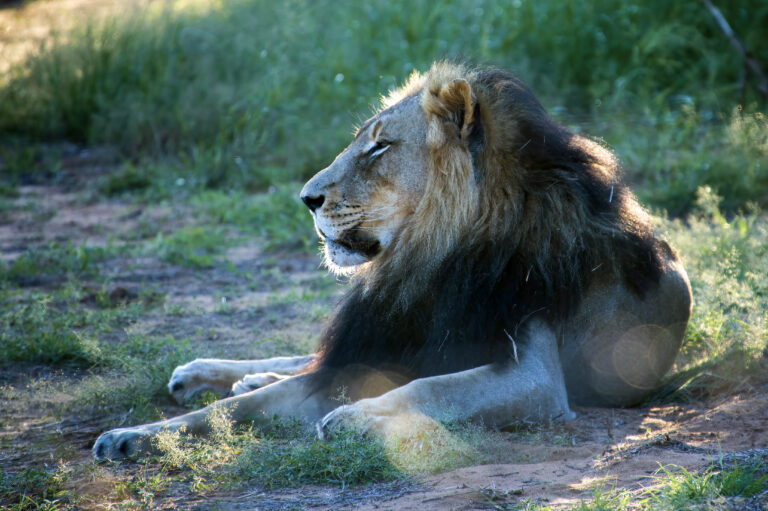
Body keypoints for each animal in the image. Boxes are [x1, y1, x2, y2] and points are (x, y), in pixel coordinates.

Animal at [93, 63, 692, 460]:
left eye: (379, 148)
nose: (306, 198)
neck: (427, 257)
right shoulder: (388, 333)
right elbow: (232, 410)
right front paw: (129, 437)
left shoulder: (538, 377)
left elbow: (427, 387)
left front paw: (355, 417)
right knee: (299, 360)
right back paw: (209, 373)